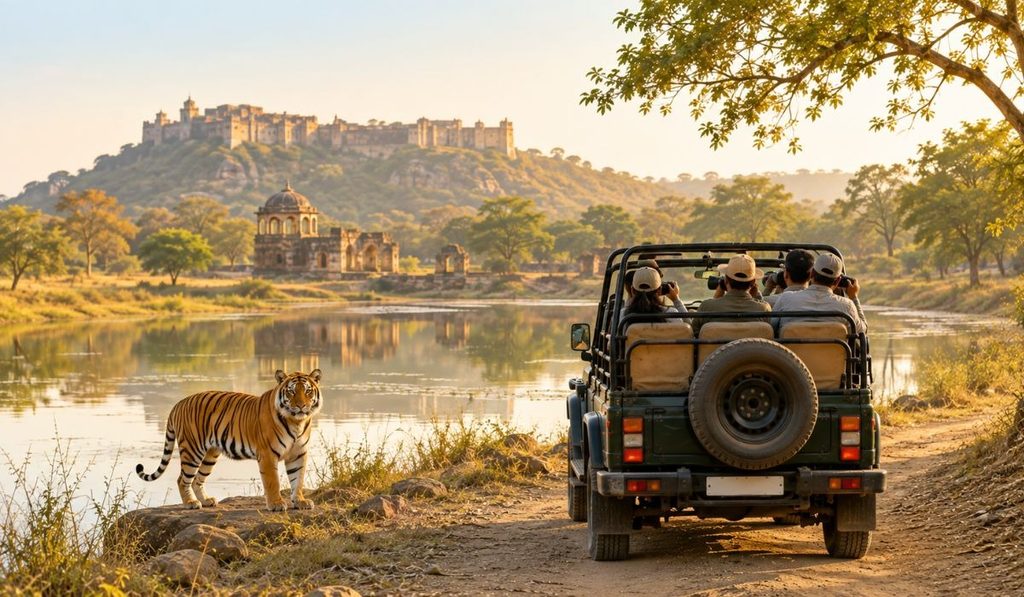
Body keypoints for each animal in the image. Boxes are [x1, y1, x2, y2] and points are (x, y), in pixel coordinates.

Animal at [136, 369, 323, 511]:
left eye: (307, 391)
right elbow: (273, 482)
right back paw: (191, 503)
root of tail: (179, 403)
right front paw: (276, 504)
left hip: (210, 454)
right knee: (182, 479)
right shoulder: (268, 455)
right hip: (192, 450)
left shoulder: (298, 453)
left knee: (197, 479)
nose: (301, 406)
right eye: (291, 391)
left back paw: (206, 501)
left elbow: (298, 479)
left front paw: (300, 501)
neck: (297, 422)